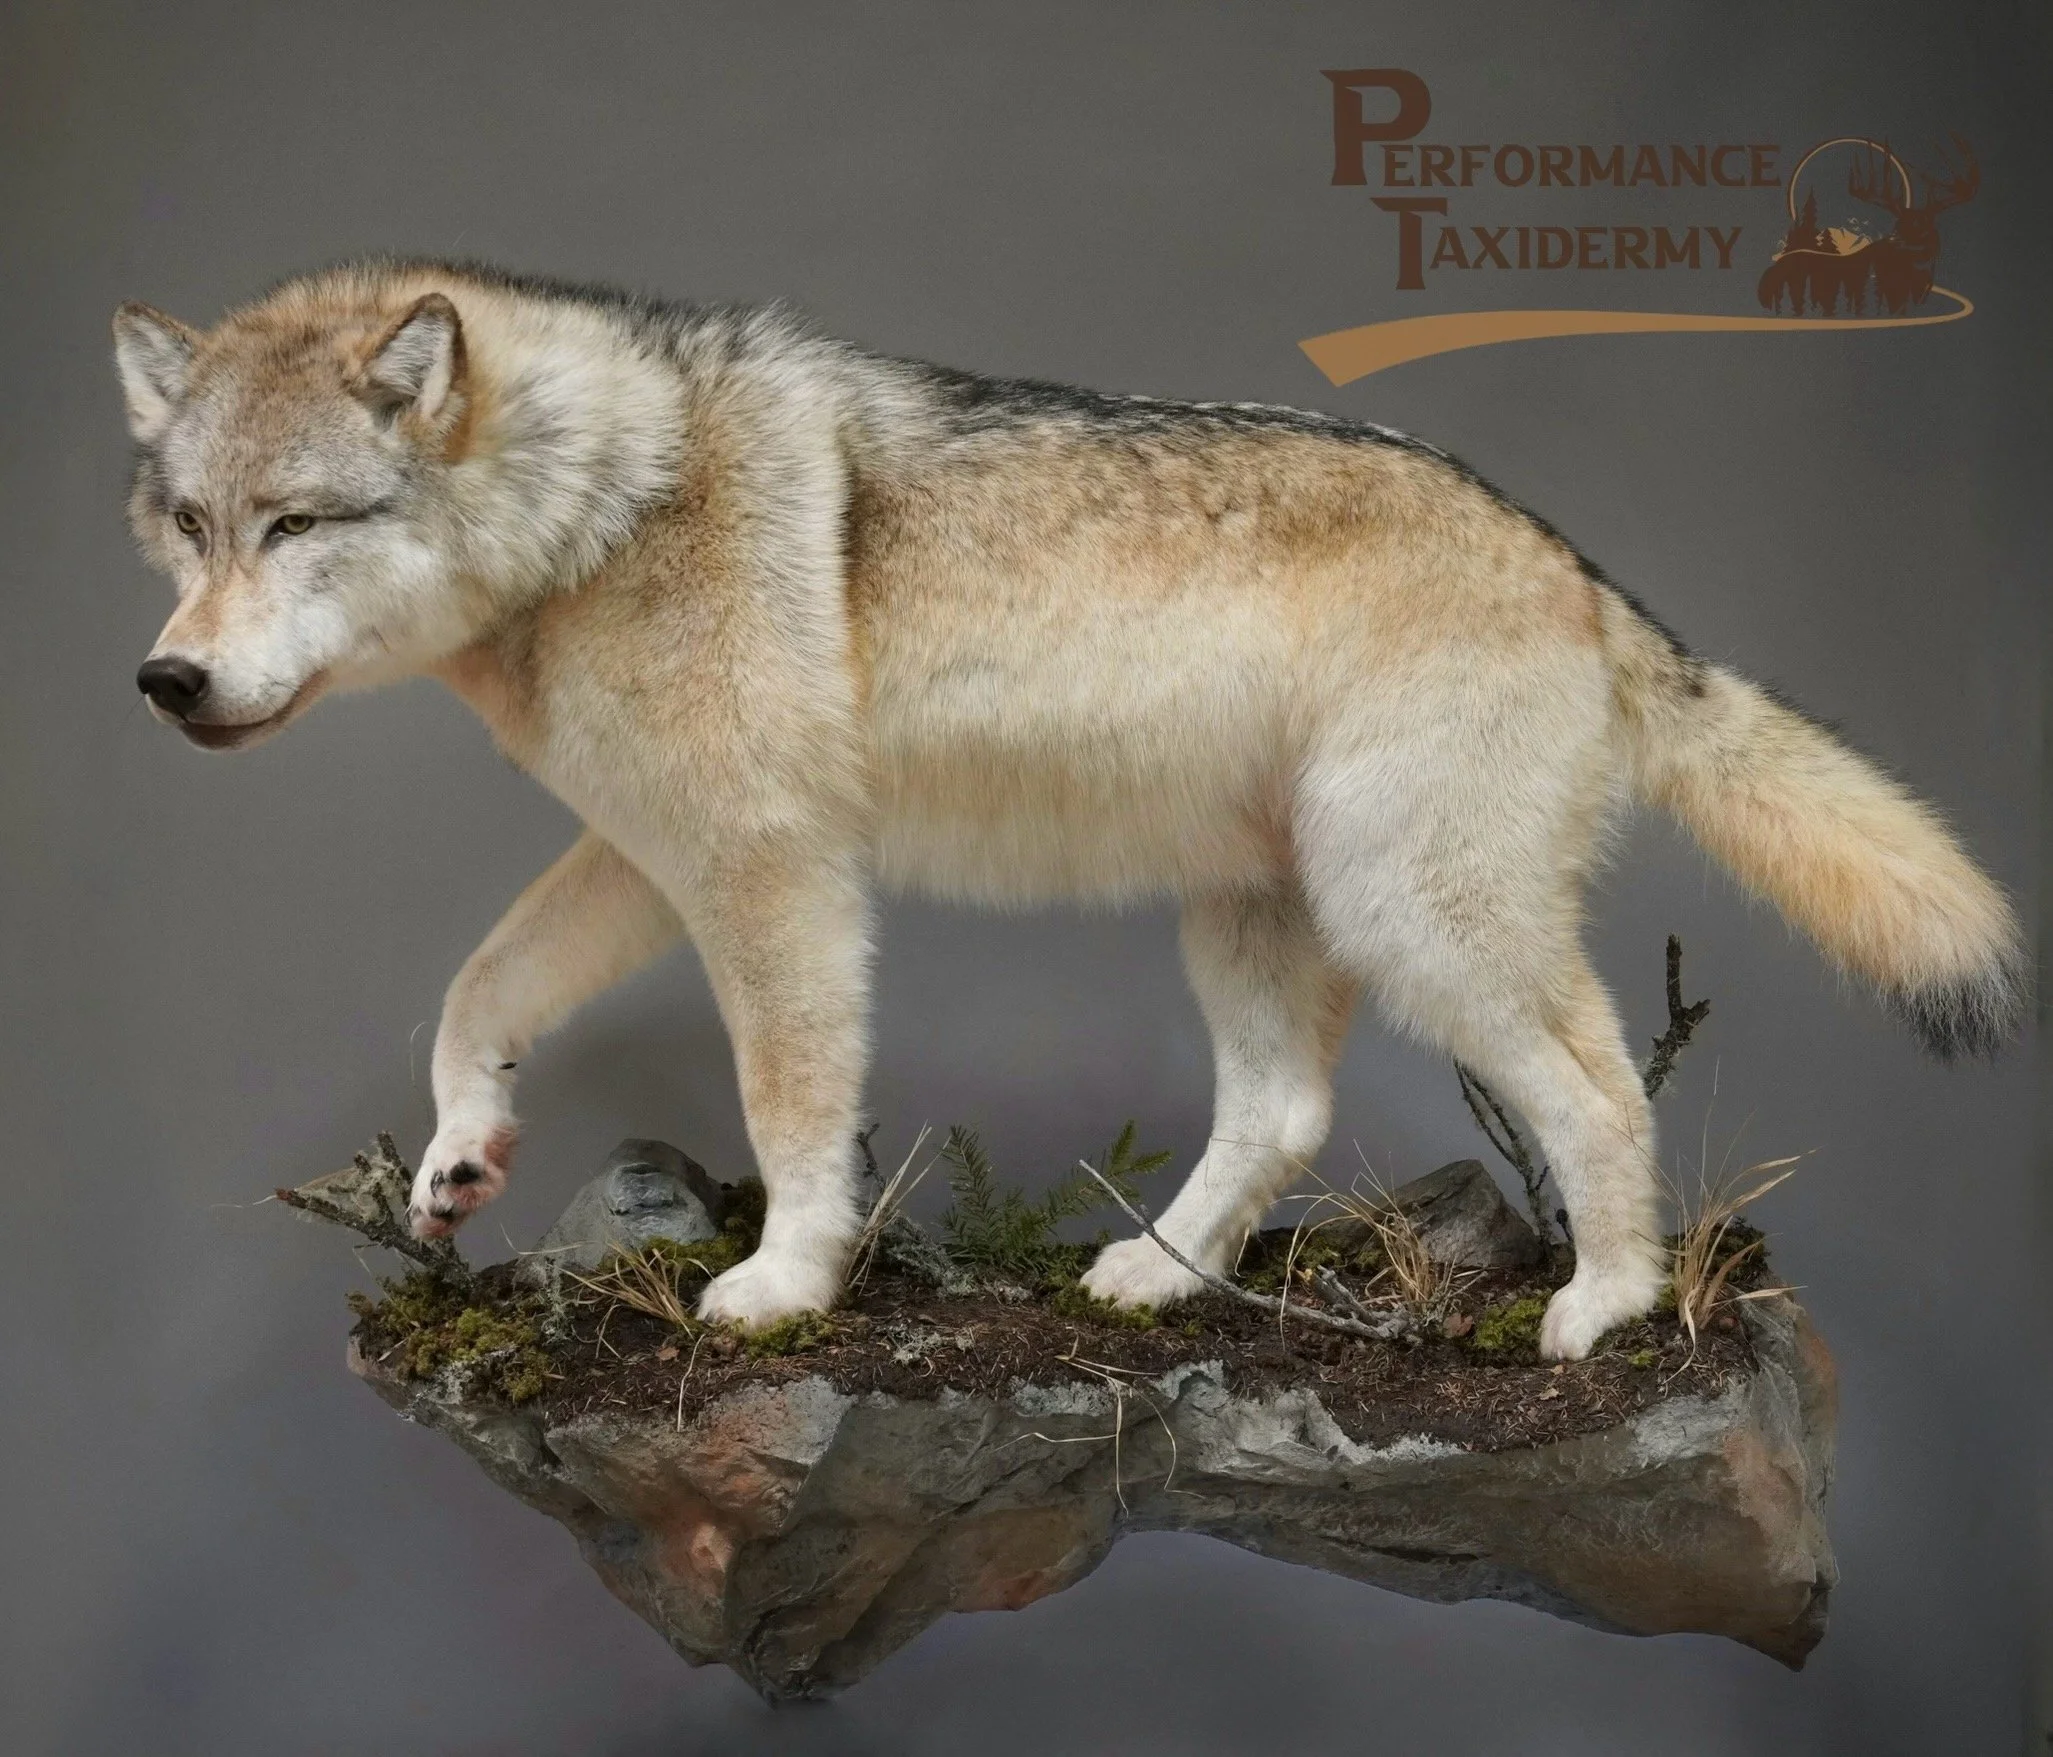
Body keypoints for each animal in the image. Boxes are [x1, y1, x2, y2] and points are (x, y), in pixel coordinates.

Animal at [113, 259, 2023, 1359]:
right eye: (188, 526)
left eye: (294, 525)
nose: (164, 684)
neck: (605, 500)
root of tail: (1578, 570)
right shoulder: (659, 860)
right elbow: (475, 990)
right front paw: (461, 1152)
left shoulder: (771, 875)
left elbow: (792, 1112)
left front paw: (784, 1290)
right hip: (1260, 924)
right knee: (1286, 1116)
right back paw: (1162, 1278)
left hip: (1414, 920)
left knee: (1598, 1082)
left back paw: (1606, 1306)